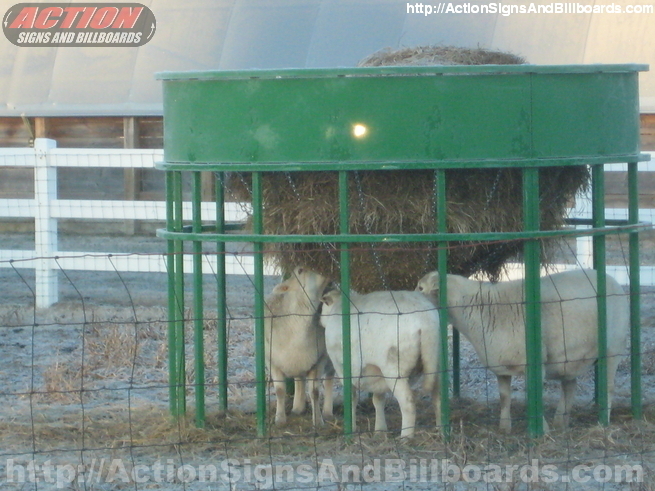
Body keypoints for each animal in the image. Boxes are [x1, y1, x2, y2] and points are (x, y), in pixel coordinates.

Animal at [264, 270, 334, 426]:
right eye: (300, 270)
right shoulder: (272, 361)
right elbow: (280, 390)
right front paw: (280, 419)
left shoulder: (320, 360)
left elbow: (314, 392)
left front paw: (318, 420)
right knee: (299, 380)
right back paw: (298, 408)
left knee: (328, 380)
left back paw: (327, 412)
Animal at [320, 288, 440, 438]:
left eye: (323, 305)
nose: (320, 321)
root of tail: (426, 321)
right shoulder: (377, 373)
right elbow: (378, 400)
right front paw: (380, 429)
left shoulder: (342, 368)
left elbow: (351, 398)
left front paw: (351, 427)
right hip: (434, 360)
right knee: (438, 395)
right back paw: (440, 428)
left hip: (394, 370)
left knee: (408, 402)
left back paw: (406, 436)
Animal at [418, 270, 632, 434]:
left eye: (420, 288)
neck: (480, 307)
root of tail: (612, 279)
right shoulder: (501, 366)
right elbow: (504, 397)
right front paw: (504, 428)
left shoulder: (534, 364)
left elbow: (533, 395)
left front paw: (542, 429)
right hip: (570, 358)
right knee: (569, 387)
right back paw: (561, 422)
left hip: (613, 348)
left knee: (608, 387)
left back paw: (602, 422)